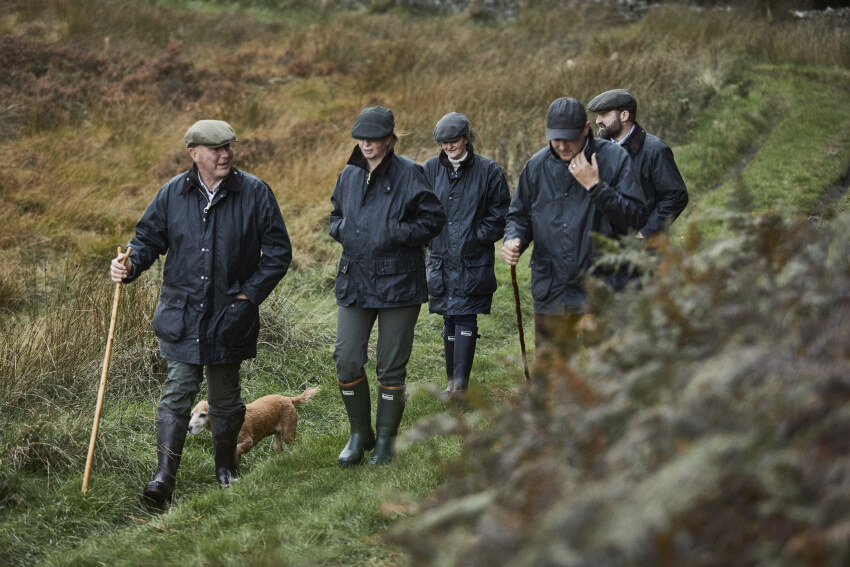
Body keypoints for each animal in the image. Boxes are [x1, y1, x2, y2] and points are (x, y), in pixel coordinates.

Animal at [190, 388, 322, 464]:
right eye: (192, 414)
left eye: (202, 415)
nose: (189, 427)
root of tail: (287, 398)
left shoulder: (248, 442)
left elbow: (237, 450)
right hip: (277, 438)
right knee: (279, 447)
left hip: (288, 434)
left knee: (293, 445)